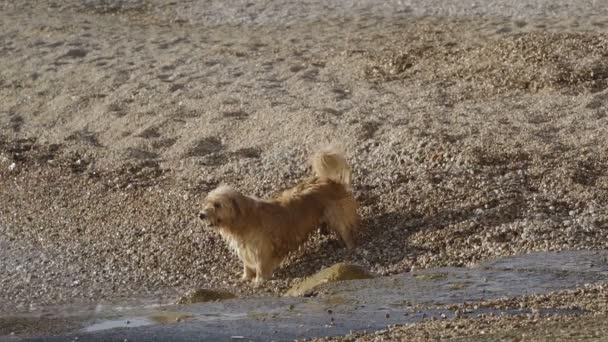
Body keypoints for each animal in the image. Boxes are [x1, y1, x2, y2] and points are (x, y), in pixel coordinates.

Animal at [200, 147, 358, 284]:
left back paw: (350, 247)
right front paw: (246, 277)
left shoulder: (261, 250)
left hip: (336, 215)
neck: (243, 220)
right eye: (206, 202)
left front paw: (258, 281)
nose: (201, 215)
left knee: (345, 229)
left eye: (217, 205)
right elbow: (247, 265)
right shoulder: (246, 250)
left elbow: (260, 266)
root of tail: (330, 180)